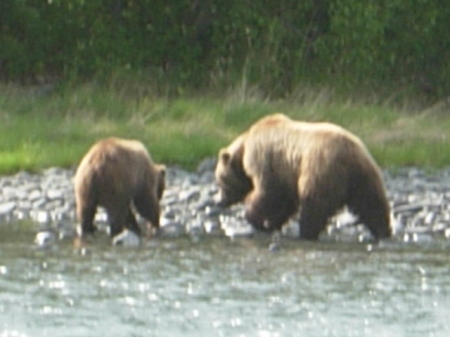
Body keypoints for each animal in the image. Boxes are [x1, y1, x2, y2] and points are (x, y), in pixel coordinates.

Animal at [214, 113, 390, 239]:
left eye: (220, 180)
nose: (219, 201)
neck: (244, 150)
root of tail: (351, 154)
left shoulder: (267, 161)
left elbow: (268, 194)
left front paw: (254, 218)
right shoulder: (287, 173)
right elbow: (285, 201)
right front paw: (272, 223)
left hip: (320, 170)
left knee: (313, 204)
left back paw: (306, 232)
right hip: (364, 176)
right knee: (372, 204)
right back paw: (383, 231)